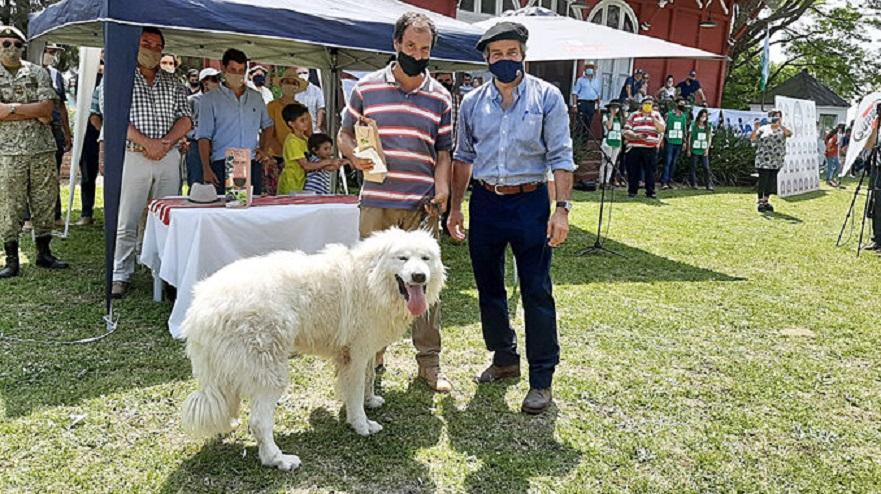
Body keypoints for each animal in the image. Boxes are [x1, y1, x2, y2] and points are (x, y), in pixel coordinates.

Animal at [179, 228, 444, 470]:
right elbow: (356, 392)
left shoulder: (365, 350)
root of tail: (199, 307)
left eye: (425, 258)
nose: (419, 276)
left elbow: (368, 379)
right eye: (402, 258)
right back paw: (279, 460)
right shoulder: (355, 356)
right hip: (270, 372)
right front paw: (361, 425)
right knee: (258, 422)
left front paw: (370, 401)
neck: (371, 279)